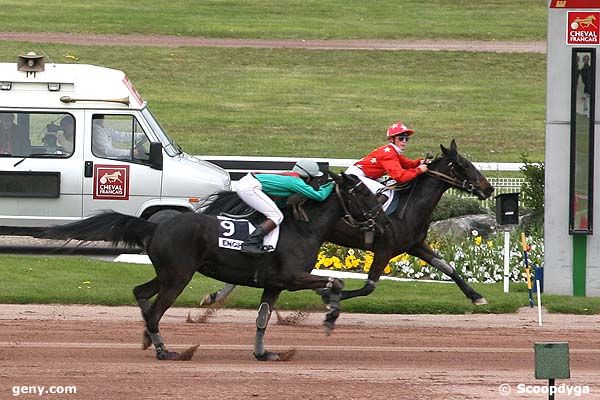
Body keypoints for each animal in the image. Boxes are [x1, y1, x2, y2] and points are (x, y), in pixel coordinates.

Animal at [43, 173, 390, 360]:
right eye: (363, 192)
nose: (384, 221)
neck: (303, 228)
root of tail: (156, 226)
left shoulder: (274, 284)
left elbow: (262, 319)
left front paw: (263, 353)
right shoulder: (292, 278)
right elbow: (335, 282)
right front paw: (330, 315)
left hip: (168, 273)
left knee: (141, 293)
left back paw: (147, 338)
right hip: (178, 277)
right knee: (154, 311)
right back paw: (166, 351)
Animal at [200, 142, 492, 308]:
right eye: (464, 165)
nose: (488, 188)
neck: (409, 208)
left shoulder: (415, 246)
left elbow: (448, 267)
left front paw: (476, 295)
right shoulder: (384, 250)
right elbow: (369, 286)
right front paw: (330, 296)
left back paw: (217, 295)